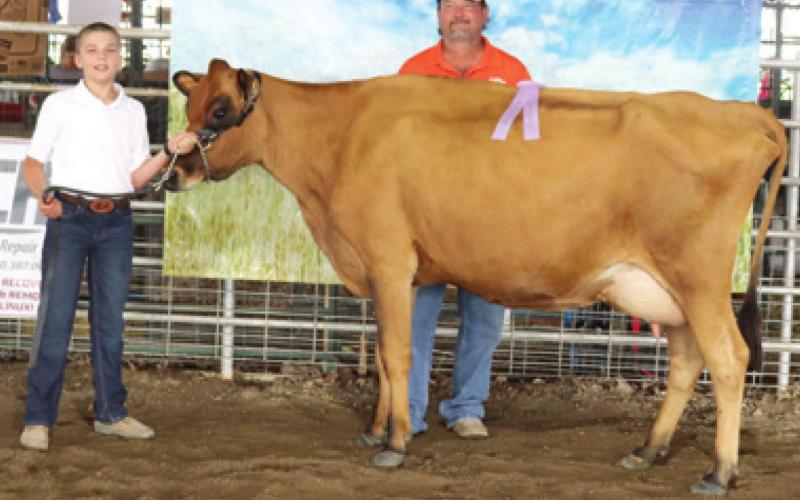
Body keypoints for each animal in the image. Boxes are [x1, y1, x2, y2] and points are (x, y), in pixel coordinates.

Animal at [169, 59, 787, 495]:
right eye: (190, 105)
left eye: (220, 111)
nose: (176, 170)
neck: (341, 136)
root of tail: (743, 112)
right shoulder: (389, 272)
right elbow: (383, 355)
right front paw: (377, 427)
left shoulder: (389, 261)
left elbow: (398, 355)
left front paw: (395, 443)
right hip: (669, 288)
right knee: (685, 362)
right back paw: (648, 450)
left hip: (699, 277)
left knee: (729, 357)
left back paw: (718, 472)